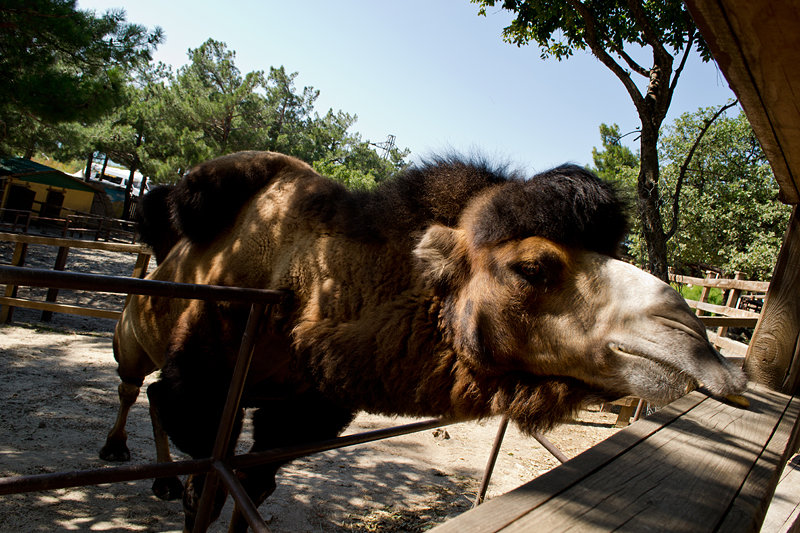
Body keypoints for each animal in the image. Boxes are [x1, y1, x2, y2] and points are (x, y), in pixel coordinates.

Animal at [101, 152, 752, 528]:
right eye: (532, 268)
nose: (695, 342)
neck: (305, 286)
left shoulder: (307, 405)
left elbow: (253, 485)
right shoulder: (204, 382)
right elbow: (205, 465)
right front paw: (187, 494)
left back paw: (159, 481)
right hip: (131, 336)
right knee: (136, 387)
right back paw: (119, 454)